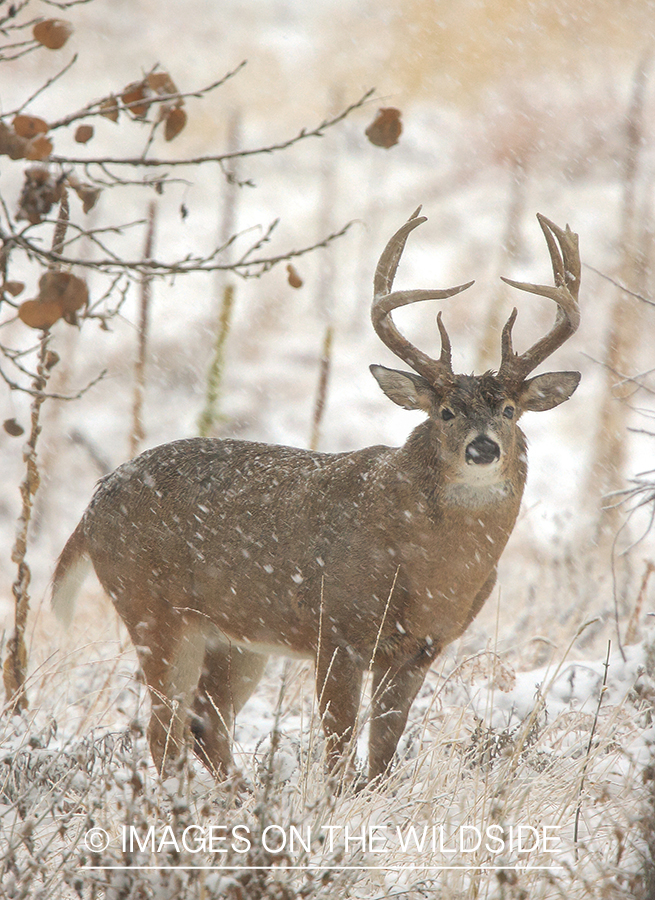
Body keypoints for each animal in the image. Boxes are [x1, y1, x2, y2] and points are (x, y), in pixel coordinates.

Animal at [53, 207, 580, 784]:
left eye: (510, 410)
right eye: (444, 412)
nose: (482, 447)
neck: (429, 567)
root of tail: (92, 505)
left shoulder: (422, 647)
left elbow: (382, 752)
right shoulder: (337, 630)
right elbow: (338, 750)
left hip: (236, 637)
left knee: (205, 723)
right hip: (154, 610)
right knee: (163, 731)